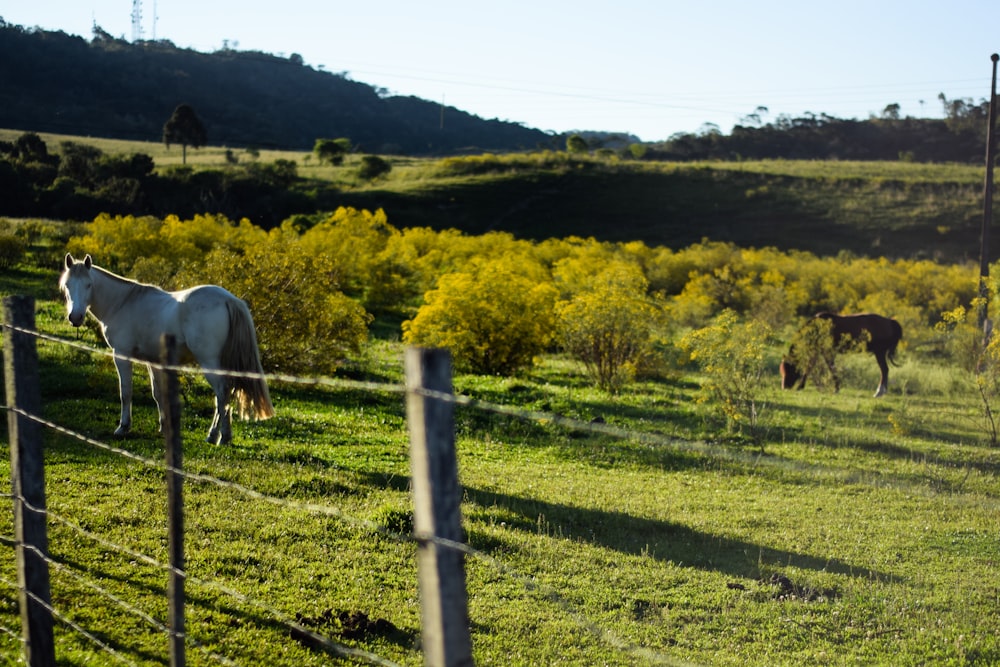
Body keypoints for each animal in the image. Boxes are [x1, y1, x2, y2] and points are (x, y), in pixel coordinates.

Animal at [58, 253, 274, 446]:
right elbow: (158, 394)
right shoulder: (152, 361)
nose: (75, 317)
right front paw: (164, 427)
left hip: (209, 362)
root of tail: (229, 299)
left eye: (88, 284)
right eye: (67, 285)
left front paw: (123, 427)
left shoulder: (122, 355)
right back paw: (221, 436)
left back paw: (217, 436)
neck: (122, 303)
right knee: (226, 394)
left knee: (222, 394)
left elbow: (125, 392)